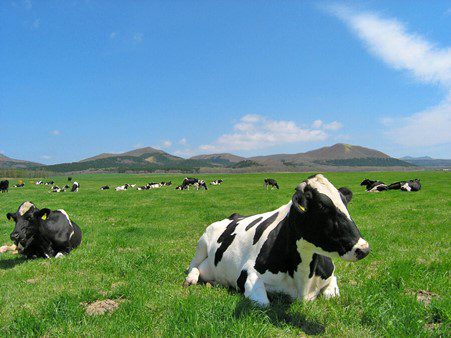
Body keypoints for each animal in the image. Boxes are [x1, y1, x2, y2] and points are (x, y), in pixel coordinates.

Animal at [185, 174, 370, 306]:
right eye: (322, 206)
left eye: (345, 202)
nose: (364, 248)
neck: (304, 279)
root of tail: (233, 215)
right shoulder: (248, 273)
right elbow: (263, 303)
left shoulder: (331, 276)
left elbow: (331, 296)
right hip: (202, 242)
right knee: (193, 266)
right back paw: (191, 279)